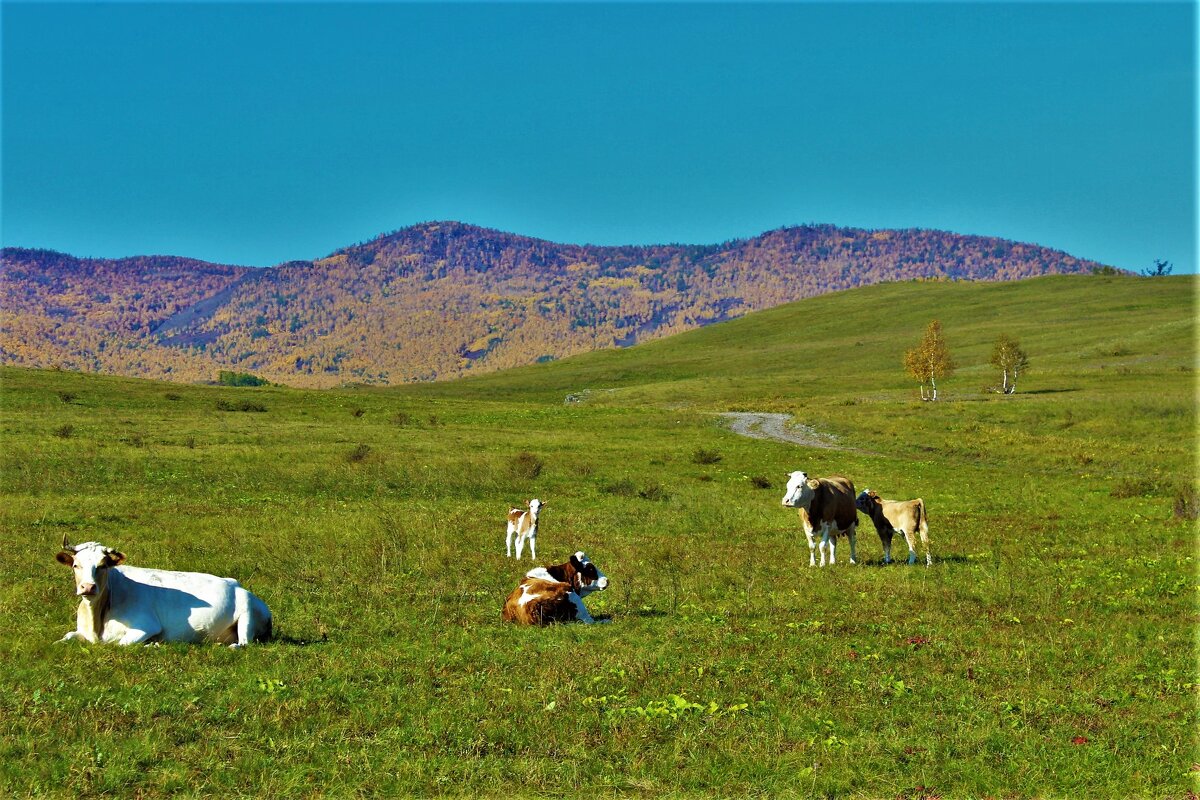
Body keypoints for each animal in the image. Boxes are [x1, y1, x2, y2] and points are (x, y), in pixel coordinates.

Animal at [56, 537, 272, 642]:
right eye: (76, 565)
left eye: (102, 565)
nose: (88, 587)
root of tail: (235, 583)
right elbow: (66, 637)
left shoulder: (146, 625)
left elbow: (119, 644)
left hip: (248, 614)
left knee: (243, 643)